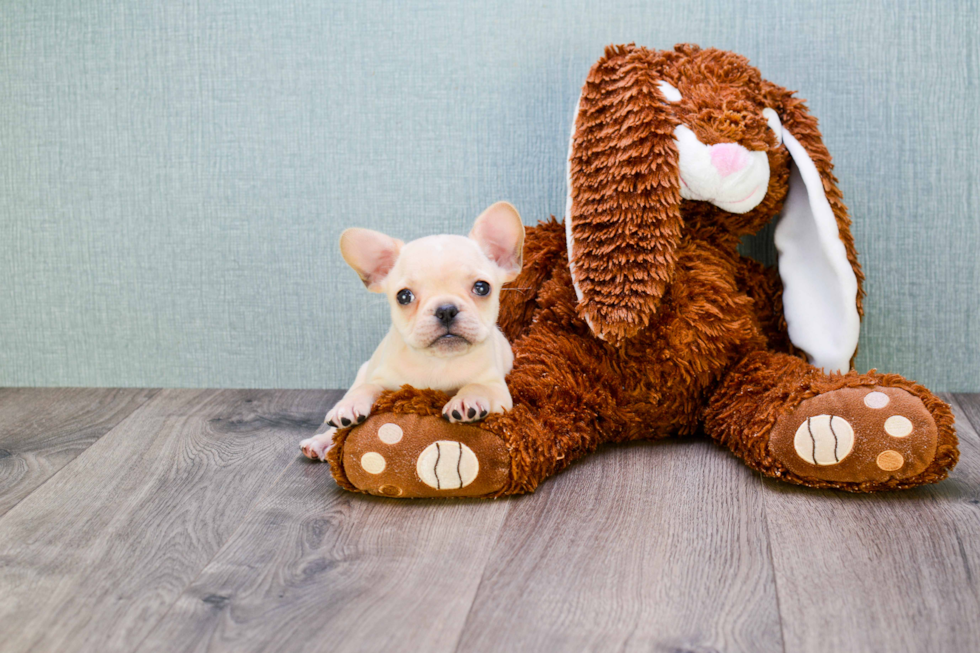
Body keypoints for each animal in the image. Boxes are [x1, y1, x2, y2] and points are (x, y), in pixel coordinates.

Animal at [300, 201, 524, 460]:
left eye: (482, 287)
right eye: (404, 296)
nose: (446, 310)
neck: (438, 361)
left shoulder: (496, 388)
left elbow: (477, 386)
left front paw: (466, 400)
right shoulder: (384, 381)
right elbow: (369, 387)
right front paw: (349, 405)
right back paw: (321, 440)